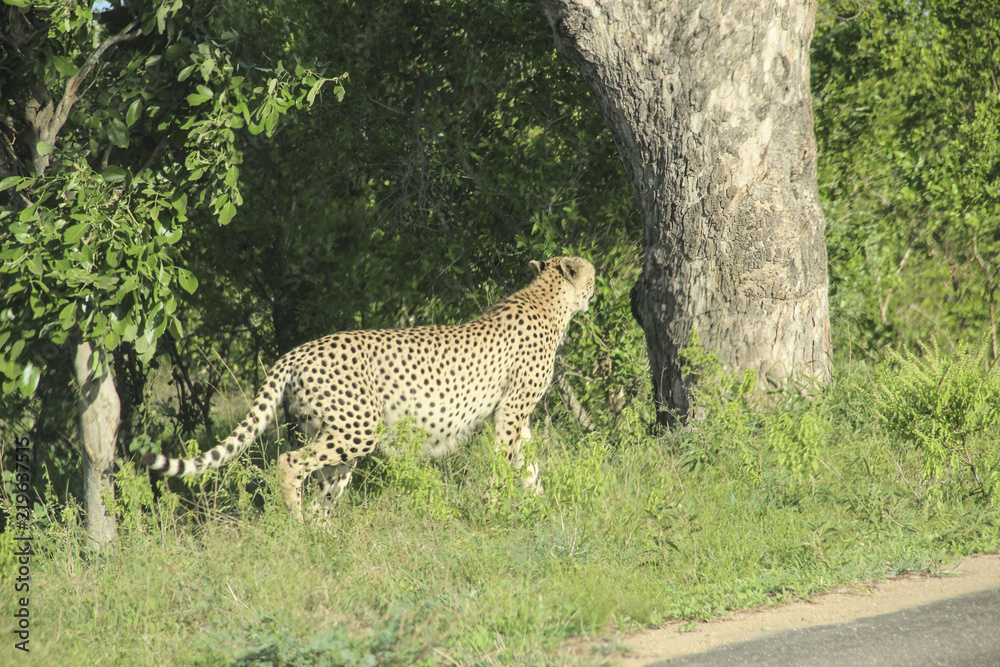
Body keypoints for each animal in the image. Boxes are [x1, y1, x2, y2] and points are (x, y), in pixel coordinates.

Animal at [141, 256, 596, 519]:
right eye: (590, 273)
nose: (597, 285)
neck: (547, 300)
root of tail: (298, 350)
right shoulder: (510, 411)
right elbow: (505, 462)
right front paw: (500, 509)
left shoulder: (516, 415)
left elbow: (528, 462)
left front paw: (540, 505)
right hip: (358, 428)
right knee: (289, 463)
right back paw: (297, 523)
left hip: (329, 432)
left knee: (324, 488)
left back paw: (321, 537)